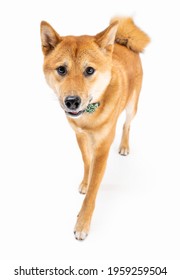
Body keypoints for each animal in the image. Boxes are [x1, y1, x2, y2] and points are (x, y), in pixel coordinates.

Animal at [40, 17, 150, 241]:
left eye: (89, 70)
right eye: (61, 69)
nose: (72, 101)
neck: (89, 114)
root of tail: (123, 43)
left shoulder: (103, 147)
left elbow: (93, 191)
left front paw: (82, 223)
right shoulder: (80, 136)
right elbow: (86, 162)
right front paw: (85, 181)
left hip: (132, 107)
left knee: (127, 124)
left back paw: (124, 146)